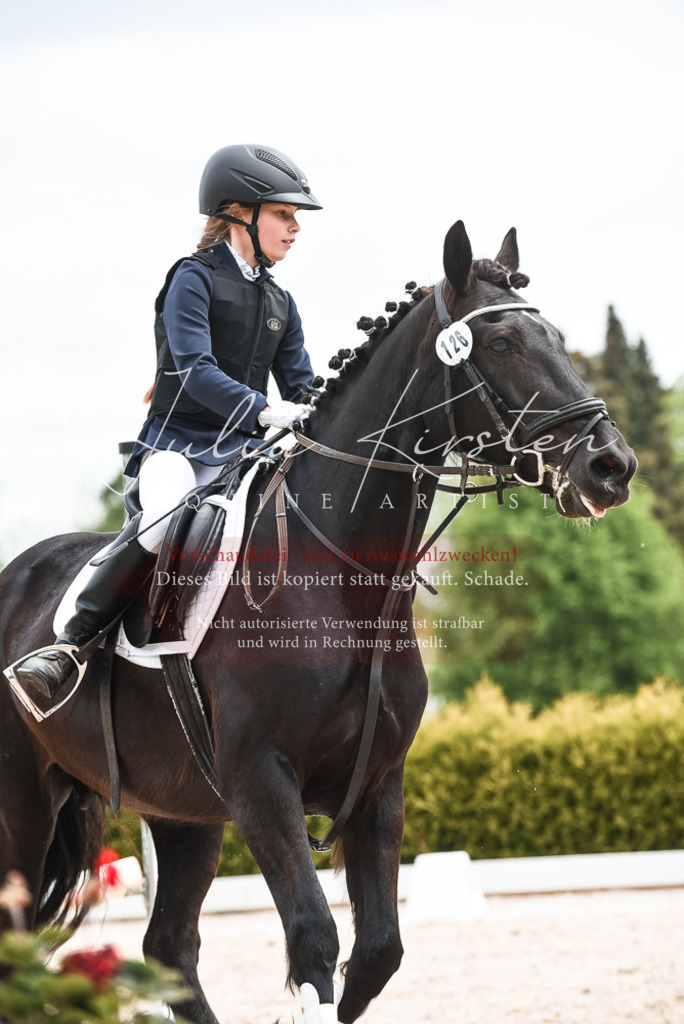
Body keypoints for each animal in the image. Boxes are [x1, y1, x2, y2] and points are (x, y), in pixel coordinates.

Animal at [0, 221, 637, 1024]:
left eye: (553, 335)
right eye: (501, 345)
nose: (612, 466)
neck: (343, 583)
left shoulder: (377, 785)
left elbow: (378, 952)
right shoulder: (261, 783)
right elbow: (314, 936)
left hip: (183, 817)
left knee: (169, 947)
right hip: (25, 805)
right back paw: (47, 668)